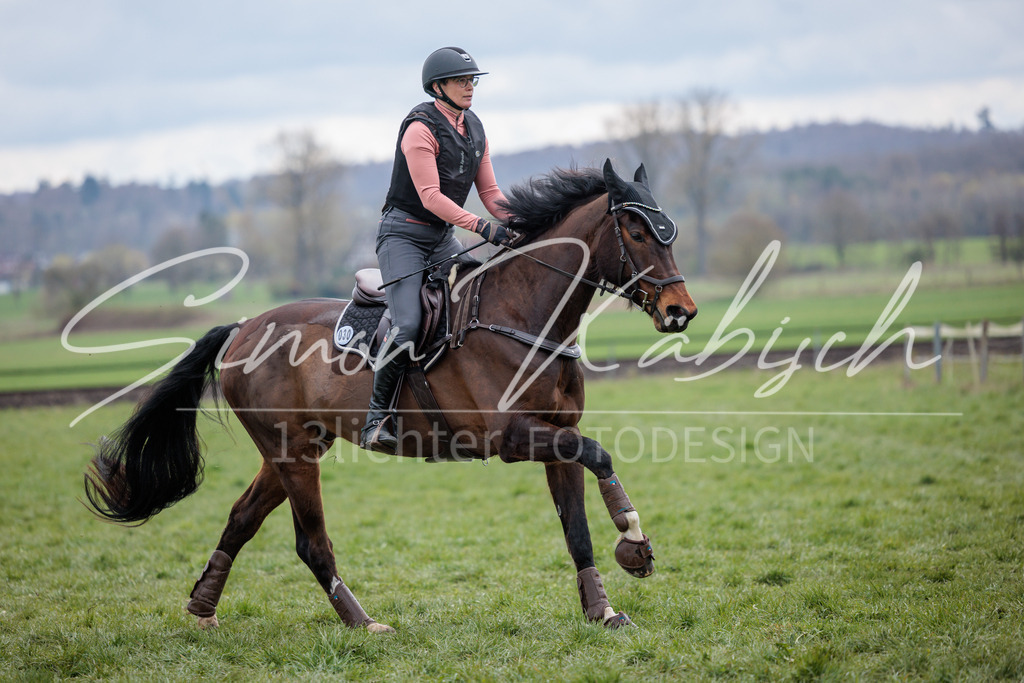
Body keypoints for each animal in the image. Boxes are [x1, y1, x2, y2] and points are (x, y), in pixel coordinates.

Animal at [84, 159, 697, 632]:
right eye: (637, 232)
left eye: (669, 230)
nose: (681, 311)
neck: (524, 316)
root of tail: (244, 326)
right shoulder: (514, 438)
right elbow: (602, 455)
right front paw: (634, 541)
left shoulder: (557, 436)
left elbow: (577, 531)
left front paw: (603, 610)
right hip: (293, 454)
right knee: (311, 543)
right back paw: (362, 622)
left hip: (293, 451)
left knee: (241, 519)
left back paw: (203, 607)